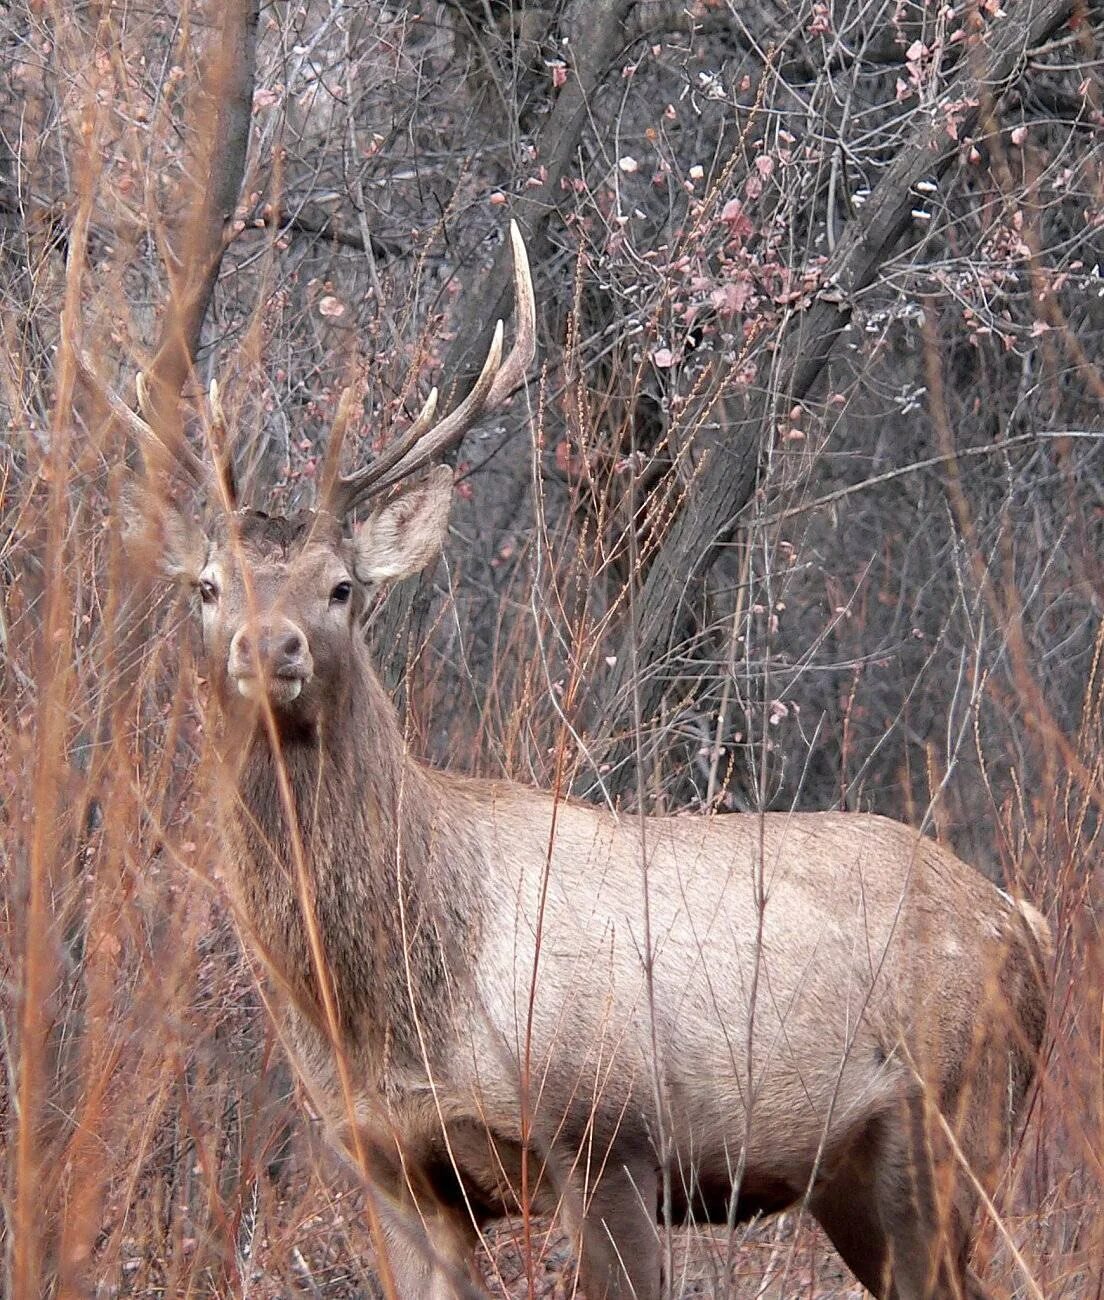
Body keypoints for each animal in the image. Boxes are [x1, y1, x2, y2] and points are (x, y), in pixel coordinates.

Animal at [105, 226, 1050, 1300]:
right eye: (207, 586)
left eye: (341, 587)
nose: (271, 649)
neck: (401, 1009)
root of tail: (1025, 920)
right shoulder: (390, 1164)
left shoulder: (608, 1132)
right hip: (857, 1176)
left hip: (957, 1119)